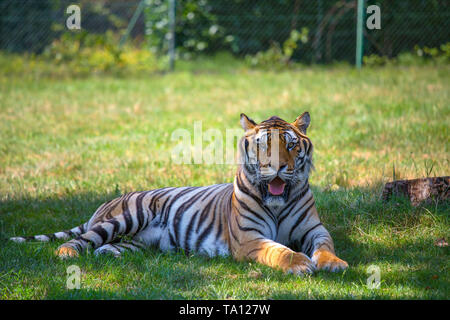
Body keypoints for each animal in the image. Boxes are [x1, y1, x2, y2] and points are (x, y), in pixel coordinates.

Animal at [9, 112, 348, 276]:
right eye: (264, 144)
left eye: (290, 144)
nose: (277, 167)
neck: (277, 201)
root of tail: (108, 201)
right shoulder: (249, 238)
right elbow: (280, 250)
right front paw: (300, 264)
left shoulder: (314, 229)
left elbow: (325, 245)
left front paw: (334, 263)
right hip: (127, 216)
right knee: (80, 240)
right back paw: (66, 254)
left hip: (138, 243)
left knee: (106, 247)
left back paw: (108, 255)